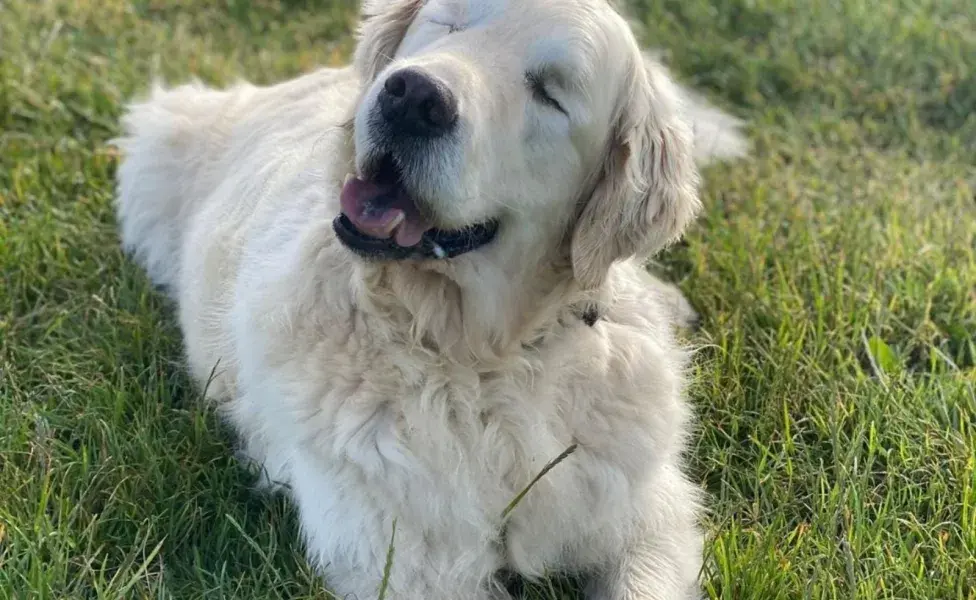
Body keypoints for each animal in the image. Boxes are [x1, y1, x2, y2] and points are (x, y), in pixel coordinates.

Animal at [110, 0, 744, 596]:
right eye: (448, 24)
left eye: (550, 93)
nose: (413, 97)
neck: (478, 357)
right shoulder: (405, 562)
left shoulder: (646, 517)